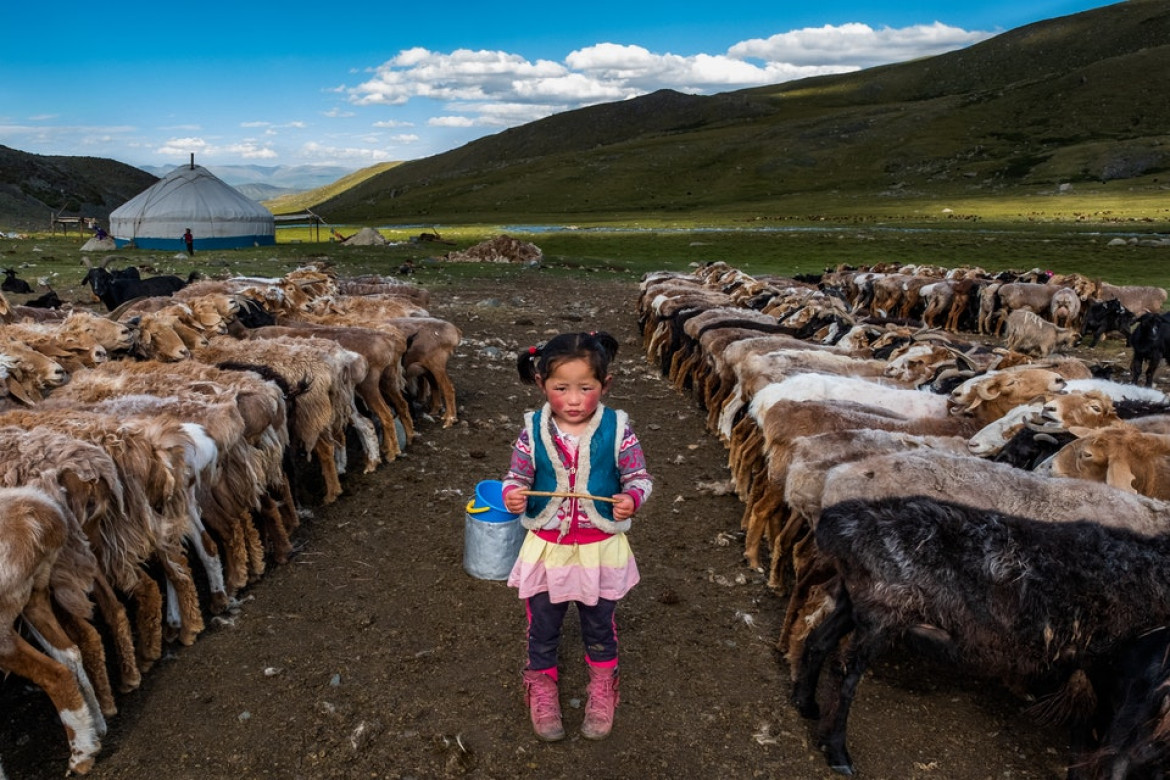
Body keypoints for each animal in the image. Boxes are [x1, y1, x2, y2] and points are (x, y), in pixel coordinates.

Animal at [800, 498, 1170, 776]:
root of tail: (839, 522)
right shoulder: (1119, 675)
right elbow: (1109, 749)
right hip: (883, 609)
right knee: (845, 675)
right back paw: (838, 753)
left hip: (855, 599)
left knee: (817, 641)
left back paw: (805, 704)